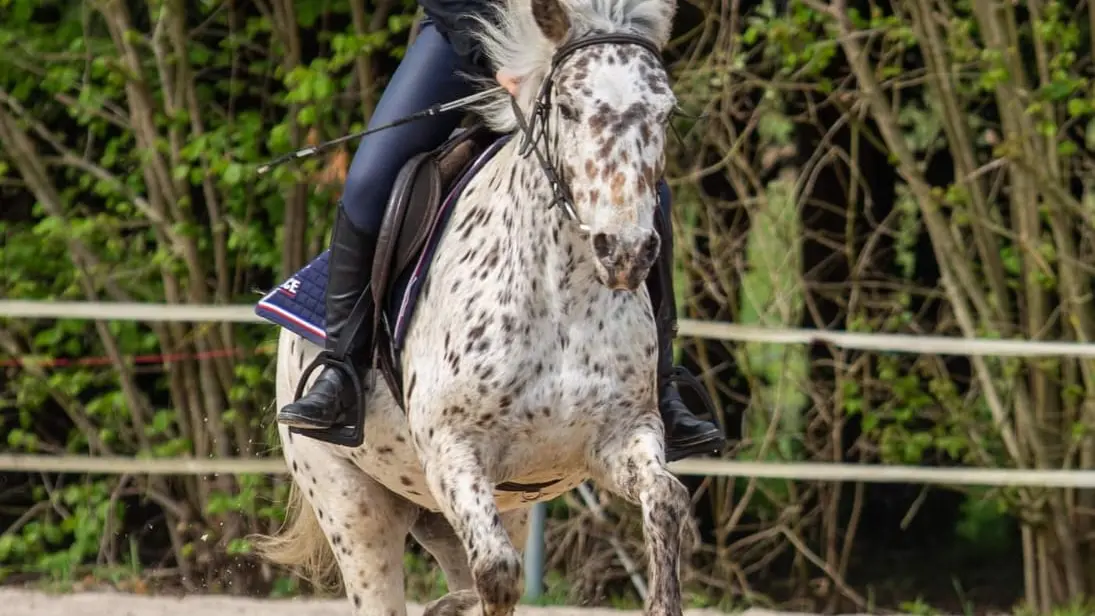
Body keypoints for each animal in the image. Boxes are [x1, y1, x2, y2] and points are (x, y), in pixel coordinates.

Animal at [255, 0, 692, 612]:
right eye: (568, 107)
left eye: (666, 114)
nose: (626, 251)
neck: (561, 299)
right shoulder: (453, 452)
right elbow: (498, 572)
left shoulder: (621, 434)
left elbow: (668, 499)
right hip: (352, 505)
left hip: (479, 511)